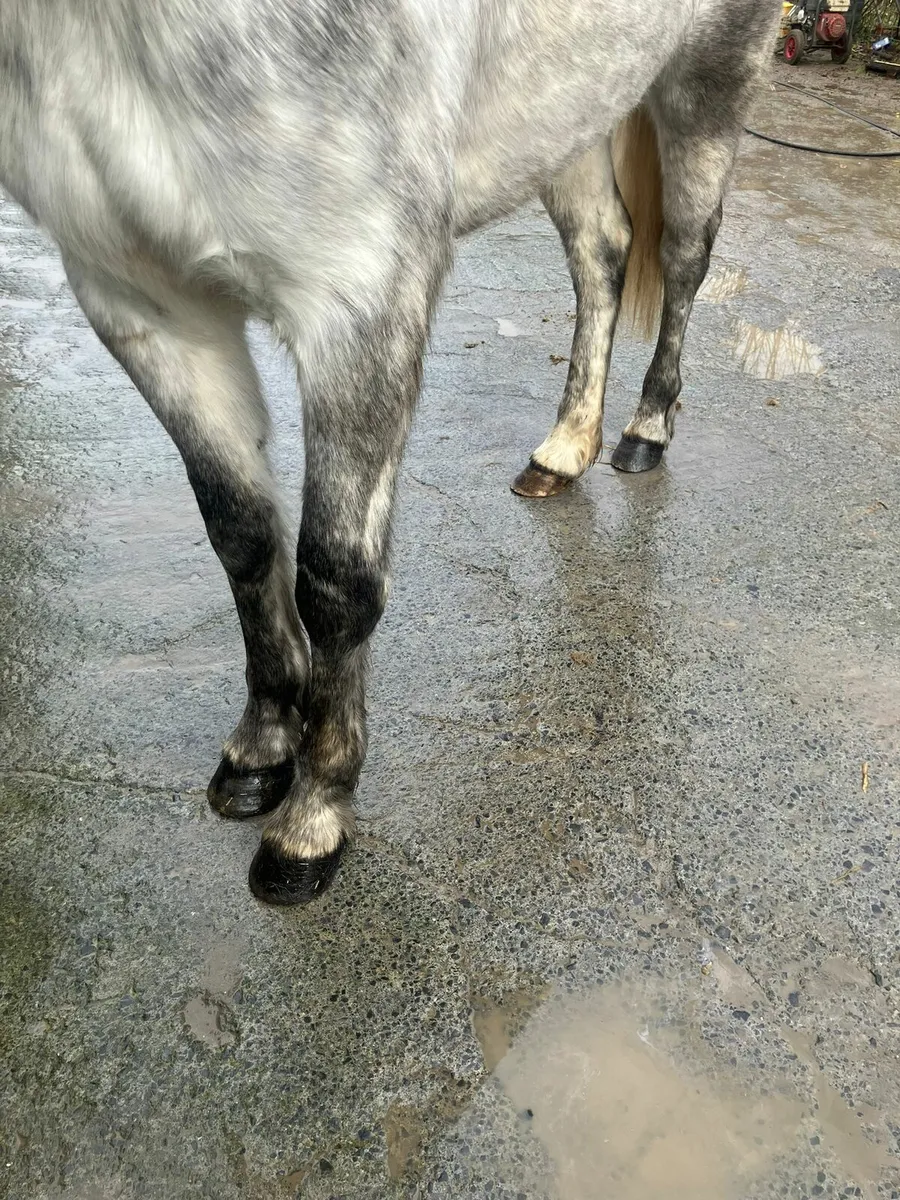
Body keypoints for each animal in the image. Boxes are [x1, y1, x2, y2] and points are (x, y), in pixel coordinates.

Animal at [0, 0, 781, 904]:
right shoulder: (142, 304)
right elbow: (241, 533)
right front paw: (260, 748)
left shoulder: (359, 302)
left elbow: (337, 579)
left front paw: (311, 820)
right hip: (573, 110)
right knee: (603, 248)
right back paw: (564, 449)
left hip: (710, 84)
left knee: (687, 254)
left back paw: (645, 431)